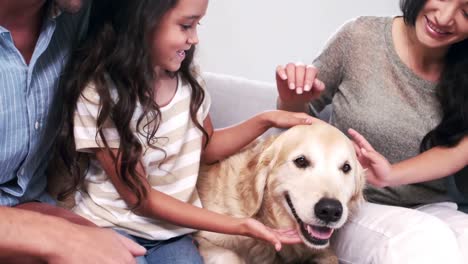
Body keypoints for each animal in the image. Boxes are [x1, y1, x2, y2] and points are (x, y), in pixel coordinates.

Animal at [194, 122, 366, 262]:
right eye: (301, 161)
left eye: (346, 167)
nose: (330, 210)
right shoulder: (207, 239)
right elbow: (231, 256)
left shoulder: (323, 250)